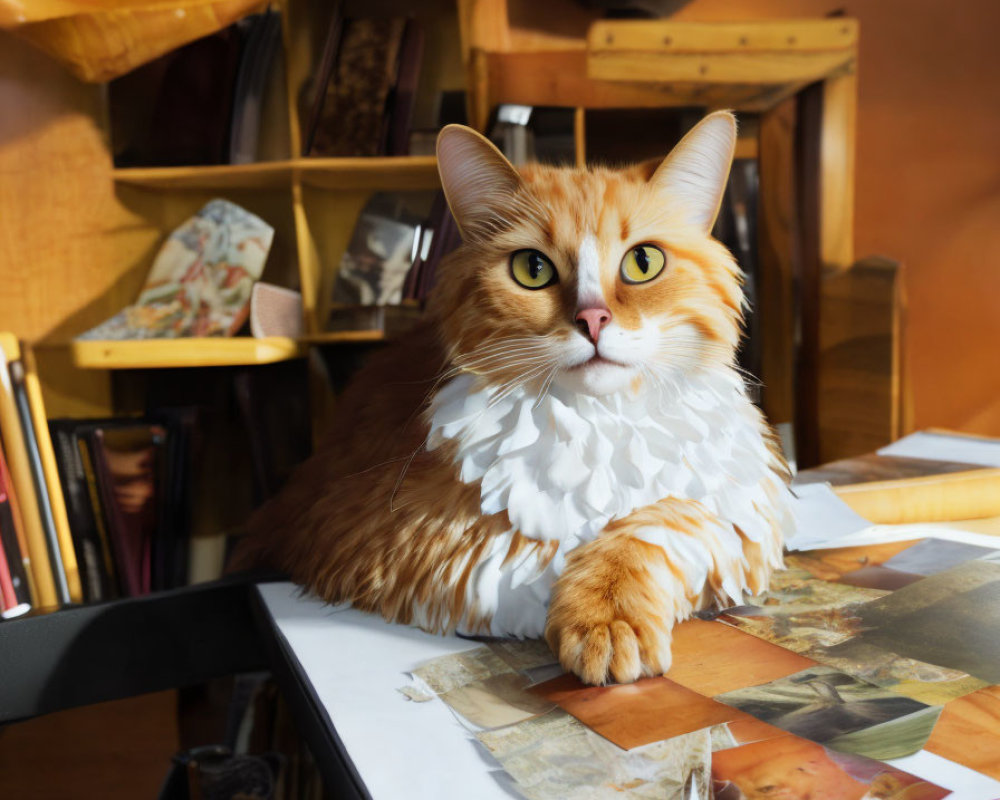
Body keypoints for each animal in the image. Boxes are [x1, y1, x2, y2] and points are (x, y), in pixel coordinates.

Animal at [238, 111, 792, 688]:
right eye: (533, 269)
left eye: (643, 262)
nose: (593, 320)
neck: (595, 421)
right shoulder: (402, 539)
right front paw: (597, 620)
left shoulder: (738, 506)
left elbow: (654, 521)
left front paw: (606, 613)